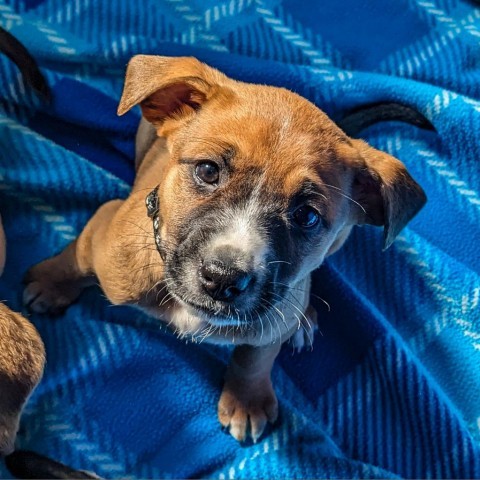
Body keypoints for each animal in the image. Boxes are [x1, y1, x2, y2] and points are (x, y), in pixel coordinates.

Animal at [23, 55, 428, 442]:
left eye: (307, 216)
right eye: (207, 170)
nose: (223, 279)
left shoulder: (267, 325)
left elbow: (256, 358)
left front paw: (247, 401)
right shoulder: (104, 232)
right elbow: (75, 258)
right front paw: (49, 284)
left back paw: (304, 316)